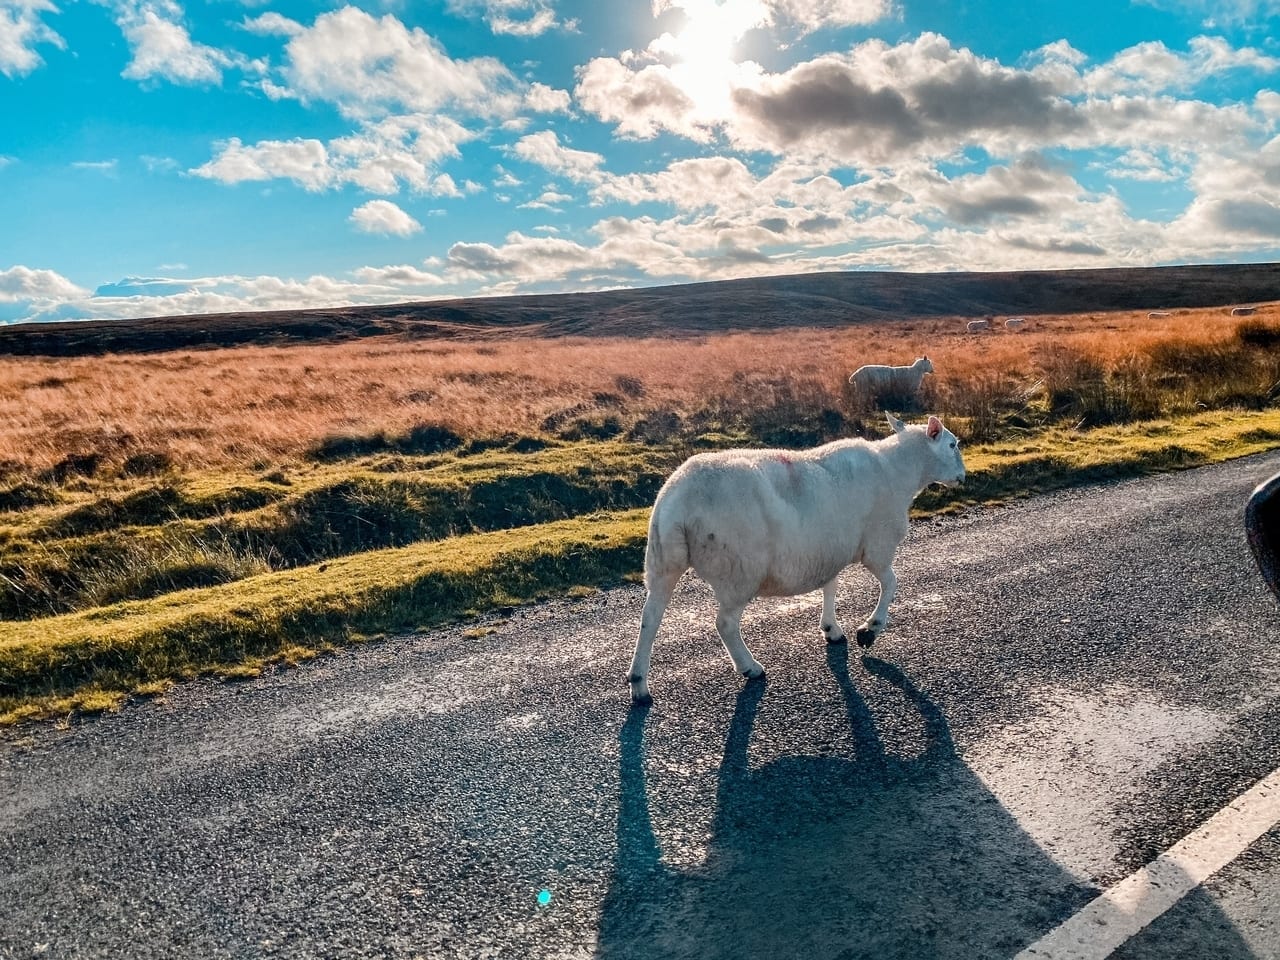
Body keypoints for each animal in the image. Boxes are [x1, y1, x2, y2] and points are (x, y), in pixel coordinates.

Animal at [624, 414, 962, 706]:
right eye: (952, 444)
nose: (963, 476)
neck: (896, 471)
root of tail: (678, 498)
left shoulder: (828, 547)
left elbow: (831, 586)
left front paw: (831, 629)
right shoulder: (877, 546)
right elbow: (891, 583)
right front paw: (869, 629)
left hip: (662, 561)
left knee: (649, 619)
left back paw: (639, 684)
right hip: (739, 570)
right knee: (725, 624)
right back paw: (750, 667)